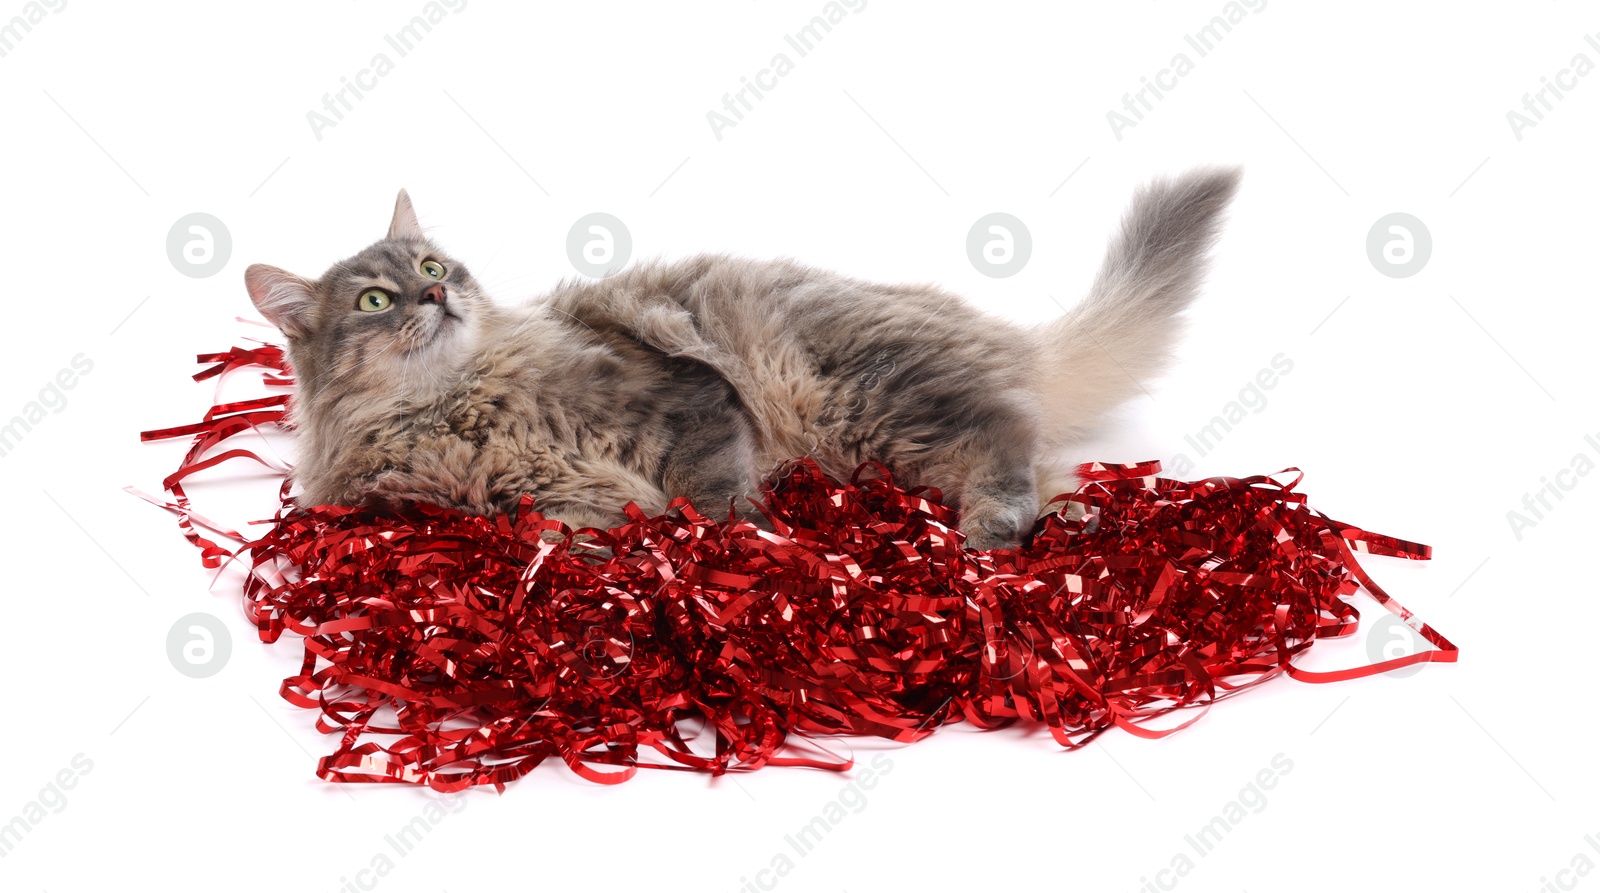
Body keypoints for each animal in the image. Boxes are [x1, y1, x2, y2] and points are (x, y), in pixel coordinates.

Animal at [243, 164, 1235, 550]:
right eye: (374, 301)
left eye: (433, 267)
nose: (437, 298)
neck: (460, 403)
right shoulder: (524, 497)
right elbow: (569, 527)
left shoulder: (684, 398)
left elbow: (711, 492)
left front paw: (743, 545)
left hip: (852, 397)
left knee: (1003, 440)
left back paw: (996, 526)